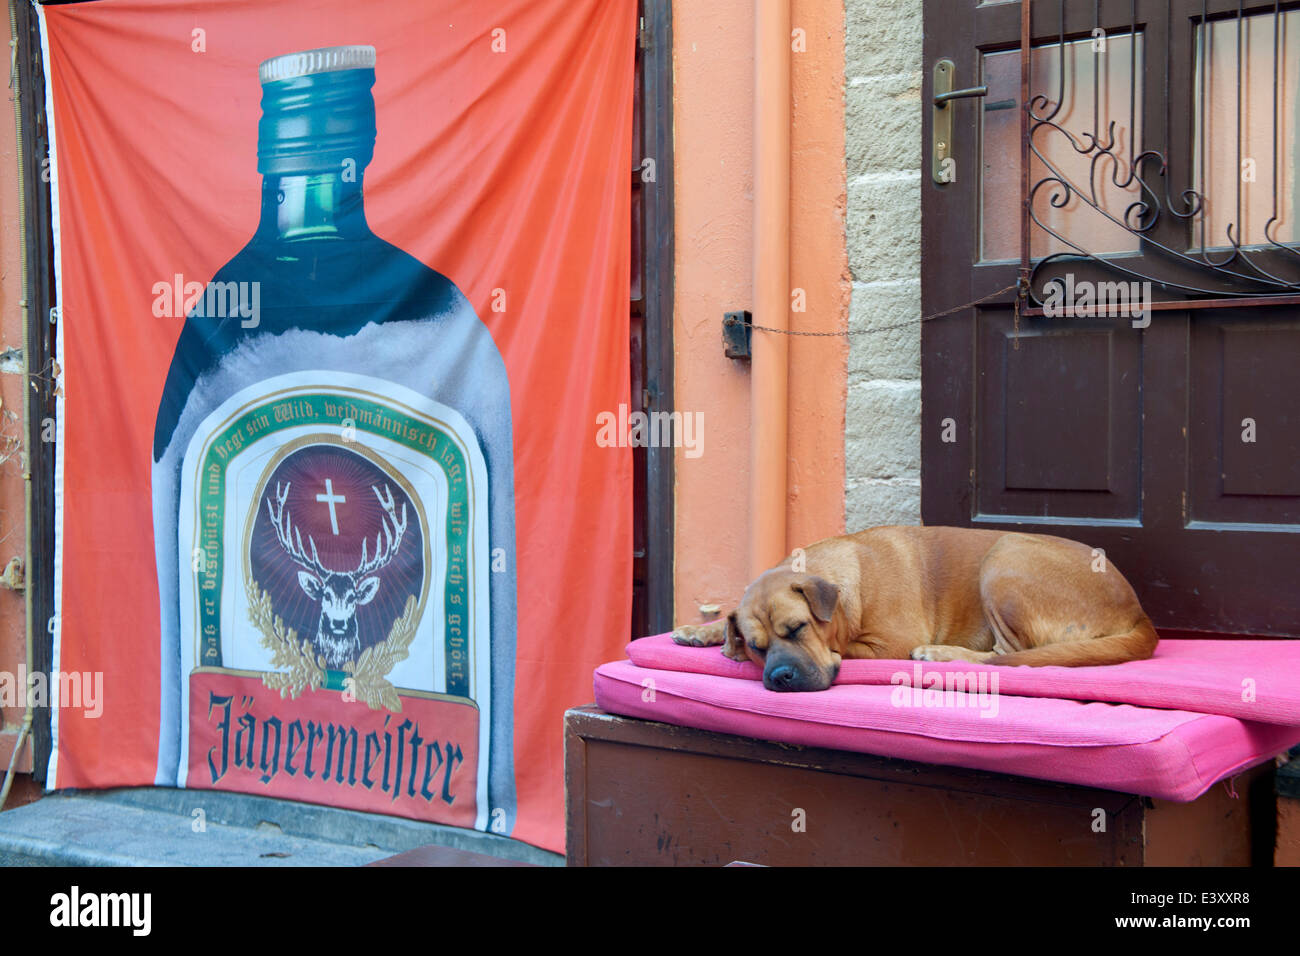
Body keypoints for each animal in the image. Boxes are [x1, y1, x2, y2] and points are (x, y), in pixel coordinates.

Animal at [670, 528, 1159, 691]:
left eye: (798, 629)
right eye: (757, 647)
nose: (780, 677)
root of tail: (1139, 613)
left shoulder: (884, 642)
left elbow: (848, 648)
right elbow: (727, 621)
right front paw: (704, 632)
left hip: (1003, 556)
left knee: (1007, 655)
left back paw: (940, 654)